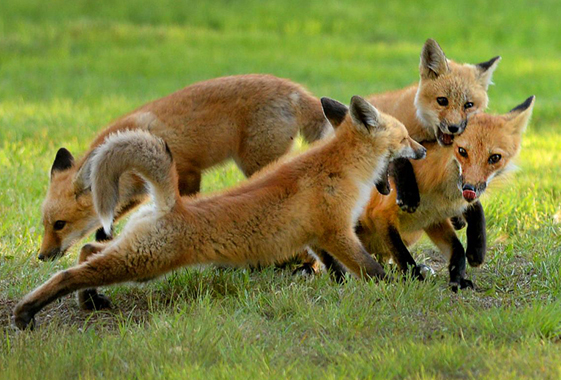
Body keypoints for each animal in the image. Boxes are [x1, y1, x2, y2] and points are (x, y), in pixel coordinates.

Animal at [12, 95, 424, 330]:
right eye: (406, 138)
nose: (422, 150)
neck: (340, 168)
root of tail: (173, 201)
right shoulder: (336, 231)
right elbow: (369, 268)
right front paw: (398, 286)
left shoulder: (315, 236)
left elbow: (333, 268)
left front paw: (334, 284)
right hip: (144, 261)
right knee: (67, 273)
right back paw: (26, 313)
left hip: (136, 255)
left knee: (86, 251)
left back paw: (90, 301)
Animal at [40, 74, 332, 262]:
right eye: (44, 225)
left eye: (59, 225)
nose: (42, 256)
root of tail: (293, 89)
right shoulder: (136, 192)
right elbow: (108, 221)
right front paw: (104, 240)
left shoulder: (188, 172)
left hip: (256, 164)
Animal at [350, 95, 532, 290]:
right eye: (462, 151)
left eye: (495, 158)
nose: (469, 189)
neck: (440, 195)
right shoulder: (381, 214)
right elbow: (404, 257)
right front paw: (416, 281)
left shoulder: (433, 220)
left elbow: (457, 250)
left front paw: (458, 279)